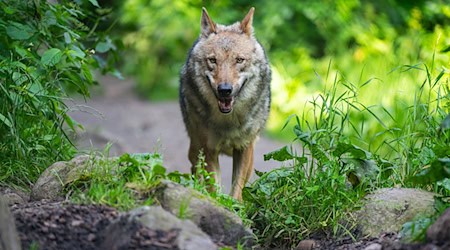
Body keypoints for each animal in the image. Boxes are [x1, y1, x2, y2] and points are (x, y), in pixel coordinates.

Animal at [179, 6, 270, 200]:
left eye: (239, 60)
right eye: (213, 60)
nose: (225, 90)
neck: (228, 122)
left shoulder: (244, 147)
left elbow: (237, 187)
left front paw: (234, 205)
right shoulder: (208, 149)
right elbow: (214, 187)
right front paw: (217, 202)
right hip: (195, 148)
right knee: (195, 171)